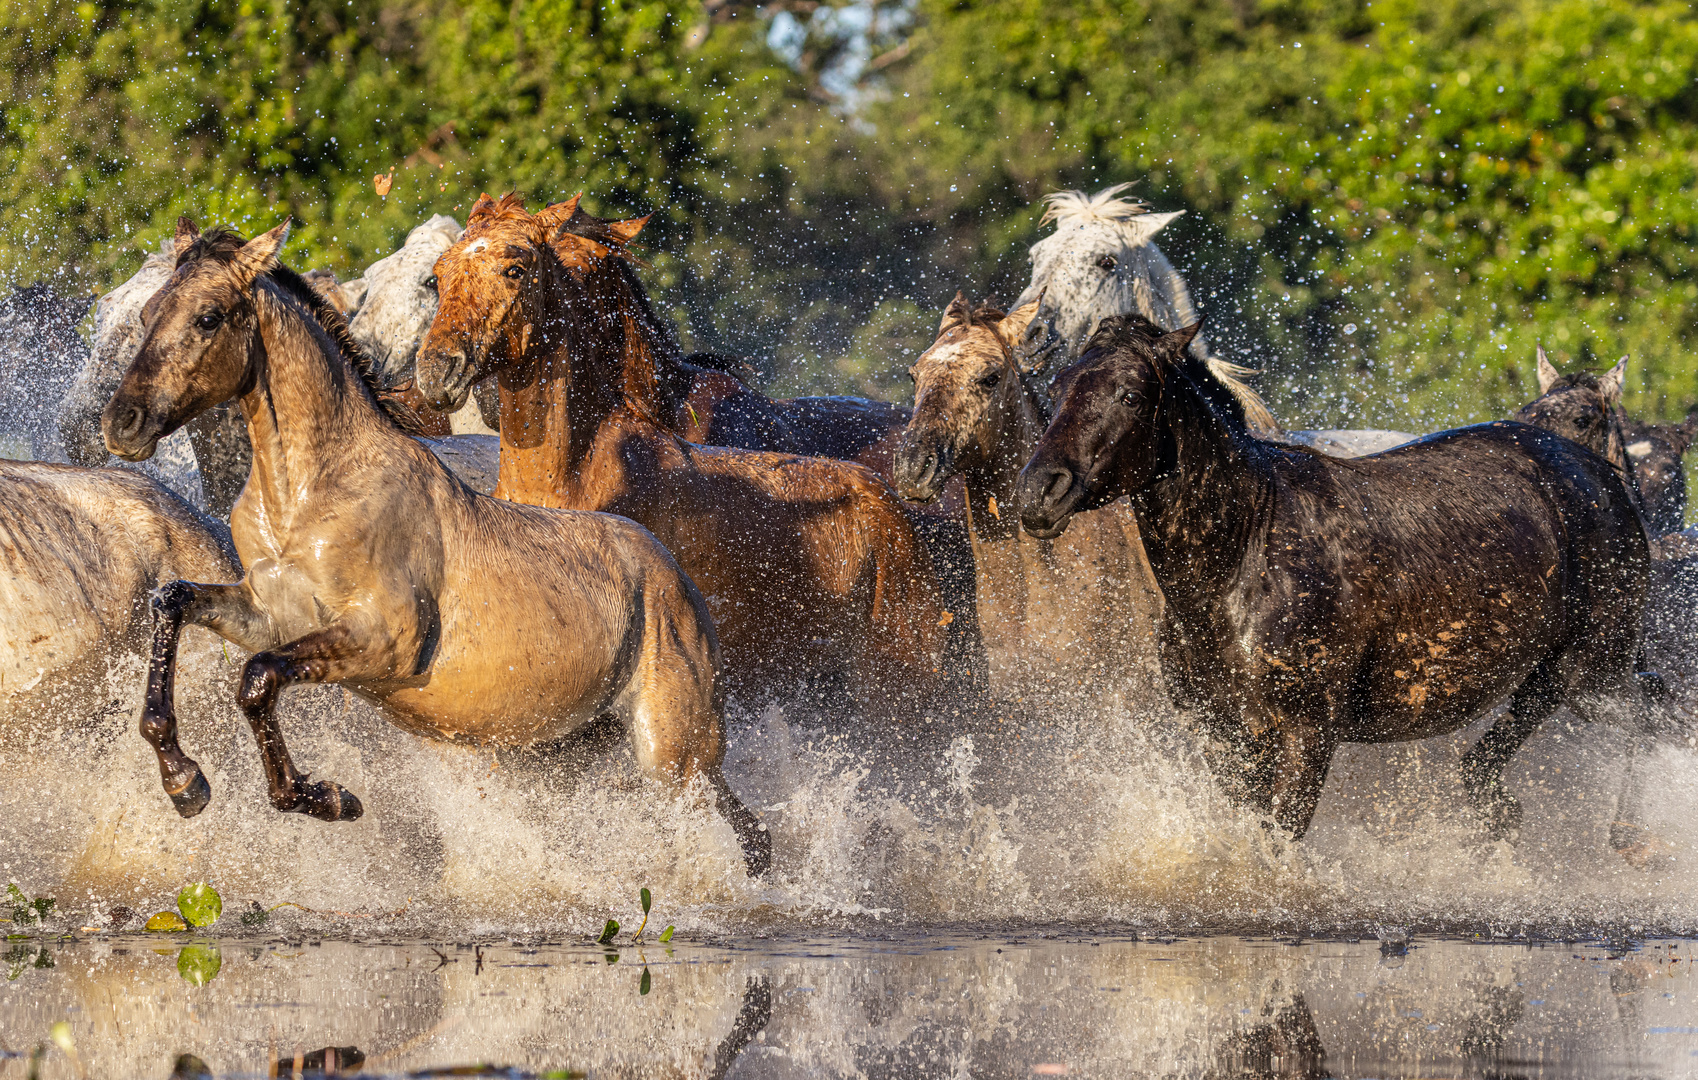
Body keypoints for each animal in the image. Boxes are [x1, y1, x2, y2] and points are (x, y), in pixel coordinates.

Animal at [1012, 314, 1664, 859]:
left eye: (1130, 394)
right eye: (1059, 386)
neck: (1243, 558)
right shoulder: (1225, 738)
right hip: (1554, 680)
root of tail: (1598, 471)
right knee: (1487, 766)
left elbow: (1276, 845)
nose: (1038, 492)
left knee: (1651, 726)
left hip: (1588, 674)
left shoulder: (1307, 734)